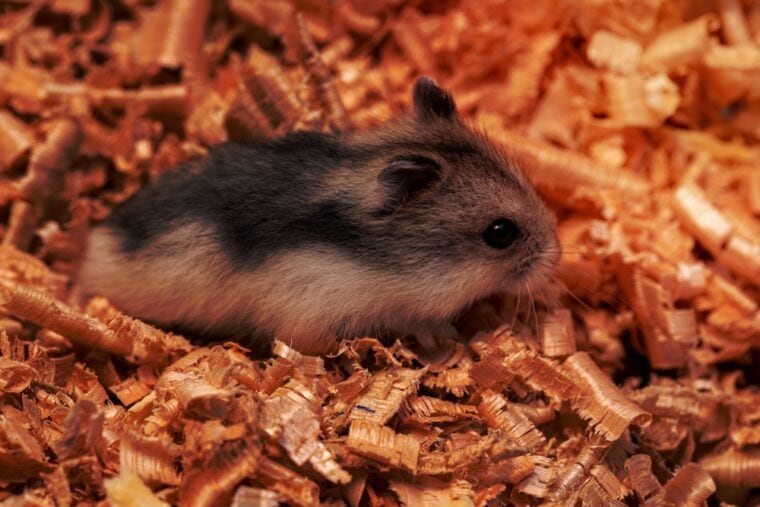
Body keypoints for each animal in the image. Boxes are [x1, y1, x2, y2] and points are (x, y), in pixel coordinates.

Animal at [78, 77, 560, 355]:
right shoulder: (310, 309)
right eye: (500, 233)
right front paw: (443, 338)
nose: (557, 257)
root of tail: (93, 247)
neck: (387, 260)